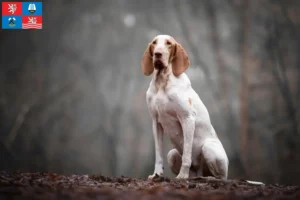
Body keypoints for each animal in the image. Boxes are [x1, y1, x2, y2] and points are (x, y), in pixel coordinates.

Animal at [142, 34, 229, 180]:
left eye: (168, 43)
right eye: (154, 43)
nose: (157, 54)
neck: (162, 82)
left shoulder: (187, 119)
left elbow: (187, 154)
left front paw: (182, 176)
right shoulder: (156, 122)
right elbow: (158, 154)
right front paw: (156, 174)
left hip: (208, 148)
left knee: (221, 177)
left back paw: (207, 178)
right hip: (172, 154)